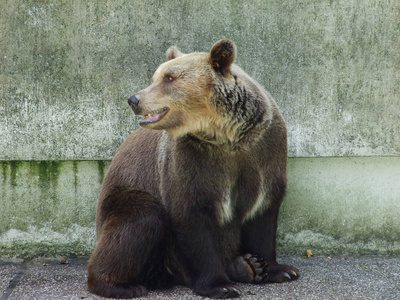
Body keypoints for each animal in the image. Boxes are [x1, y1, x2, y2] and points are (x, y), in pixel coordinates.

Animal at [87, 39, 300, 298]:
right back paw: (121, 285)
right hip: (125, 198)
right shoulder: (190, 160)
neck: (227, 135)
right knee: (142, 219)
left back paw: (247, 265)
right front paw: (220, 285)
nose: (134, 100)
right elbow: (192, 215)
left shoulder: (265, 153)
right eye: (156, 77)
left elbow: (263, 216)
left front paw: (278, 270)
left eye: (169, 77)